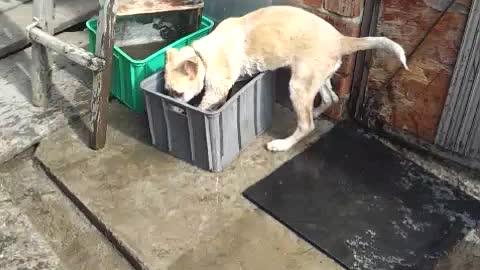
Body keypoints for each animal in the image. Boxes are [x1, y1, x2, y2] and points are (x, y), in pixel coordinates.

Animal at [165, 5, 408, 152]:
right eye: (167, 91)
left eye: (177, 93)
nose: (170, 106)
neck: (202, 55)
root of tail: (341, 39)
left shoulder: (217, 89)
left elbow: (204, 104)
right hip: (317, 79)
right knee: (330, 99)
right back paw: (316, 112)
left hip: (299, 85)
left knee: (307, 126)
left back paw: (282, 144)